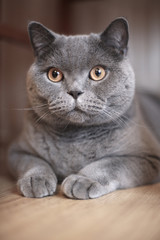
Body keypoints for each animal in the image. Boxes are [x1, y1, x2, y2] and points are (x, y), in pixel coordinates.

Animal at [8, 17, 160, 199]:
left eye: (98, 72)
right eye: (54, 74)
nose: (75, 91)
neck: (74, 139)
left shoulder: (149, 157)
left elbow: (111, 163)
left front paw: (82, 180)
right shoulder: (15, 151)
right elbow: (32, 161)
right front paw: (35, 179)